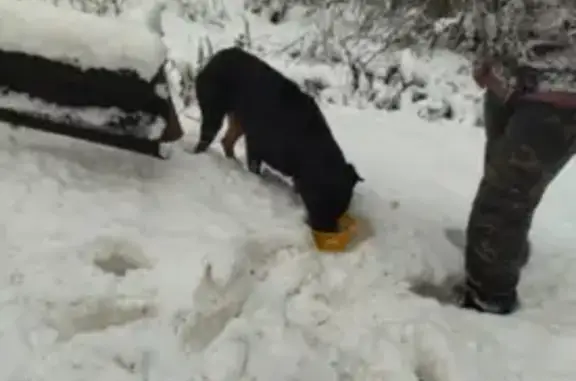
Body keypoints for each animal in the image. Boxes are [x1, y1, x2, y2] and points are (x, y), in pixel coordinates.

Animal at [194, 46, 364, 245]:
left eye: (342, 208)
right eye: (321, 202)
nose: (329, 232)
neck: (306, 146)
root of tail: (215, 58)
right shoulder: (256, 144)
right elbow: (255, 168)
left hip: (238, 119)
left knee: (226, 141)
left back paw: (233, 164)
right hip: (214, 111)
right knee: (206, 139)